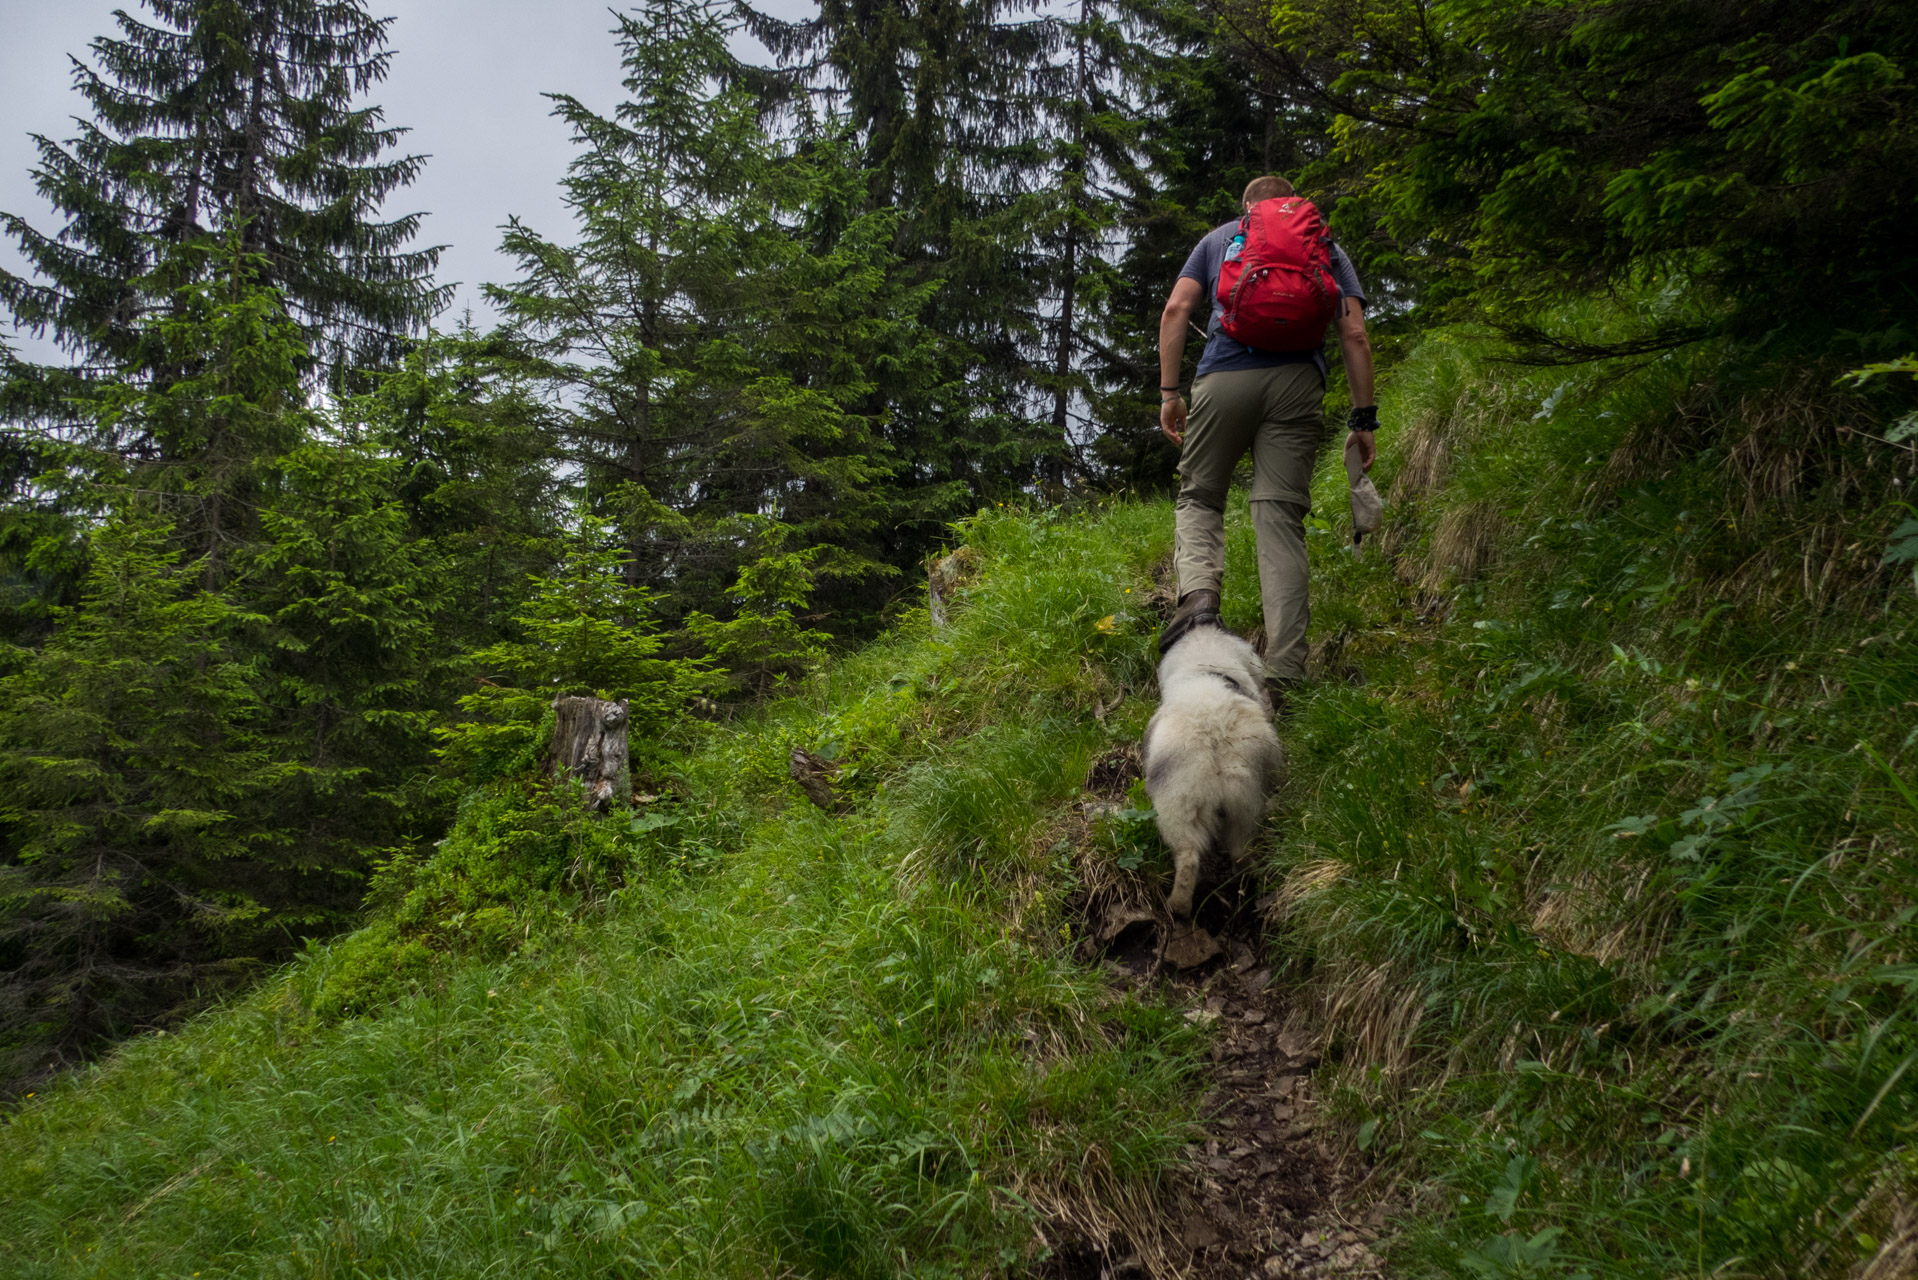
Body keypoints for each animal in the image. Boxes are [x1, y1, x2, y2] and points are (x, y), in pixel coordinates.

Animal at [1135, 625, 1288, 917]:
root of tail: (1213, 730)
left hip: (1179, 805)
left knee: (1189, 857)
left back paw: (1178, 907)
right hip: (1242, 802)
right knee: (1237, 851)